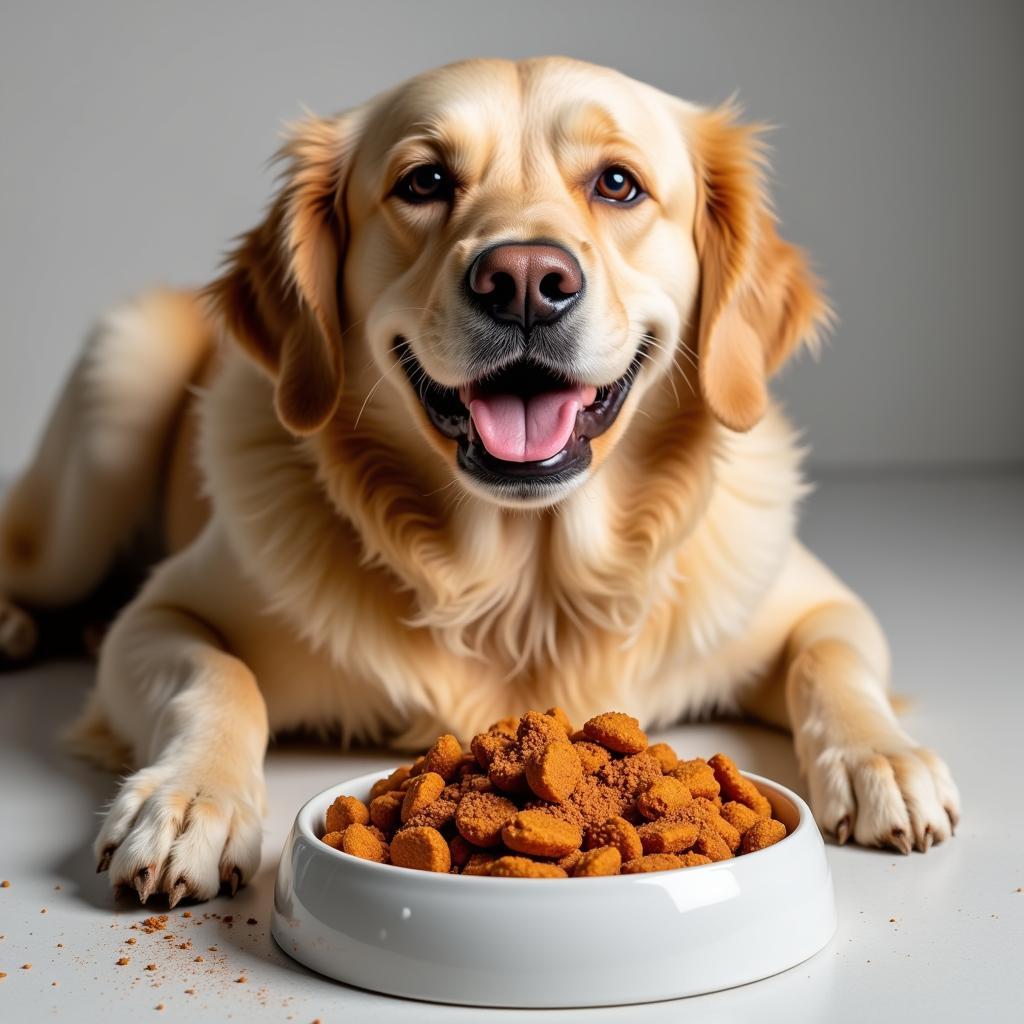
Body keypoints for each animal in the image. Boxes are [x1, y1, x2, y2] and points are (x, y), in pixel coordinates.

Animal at [2, 58, 958, 905]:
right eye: (424, 181)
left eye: (618, 184)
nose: (526, 282)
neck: (524, 585)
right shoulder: (162, 617)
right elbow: (217, 681)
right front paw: (188, 800)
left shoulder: (813, 602)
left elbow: (832, 661)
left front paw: (883, 759)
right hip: (118, 382)